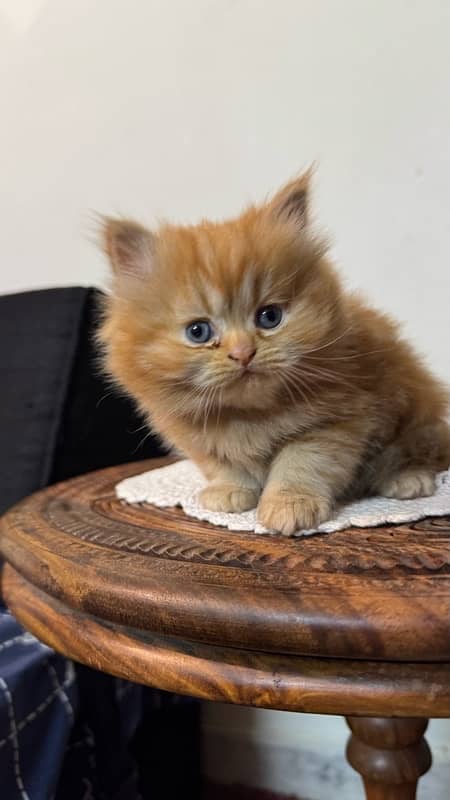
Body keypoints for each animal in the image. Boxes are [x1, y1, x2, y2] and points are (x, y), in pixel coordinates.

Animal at [99, 176, 450, 536]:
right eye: (198, 332)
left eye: (269, 317)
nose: (243, 353)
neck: (248, 416)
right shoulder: (202, 441)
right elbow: (225, 465)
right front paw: (229, 491)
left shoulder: (335, 421)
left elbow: (301, 464)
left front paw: (289, 506)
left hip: (418, 417)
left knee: (416, 452)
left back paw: (406, 479)